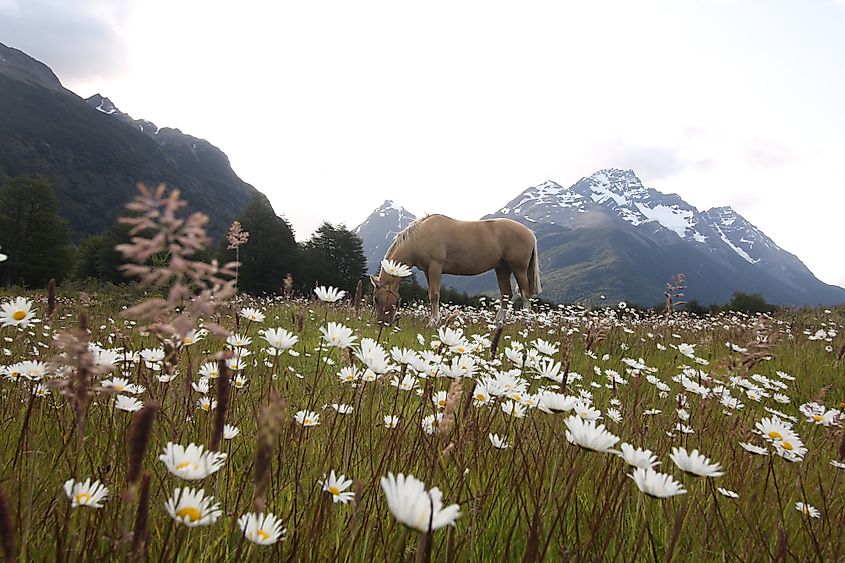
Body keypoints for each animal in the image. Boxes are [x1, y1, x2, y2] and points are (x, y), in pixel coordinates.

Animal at [370, 217, 540, 330]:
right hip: (502, 268)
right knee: (506, 295)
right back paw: (497, 325)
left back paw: (528, 324)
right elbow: (431, 295)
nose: (381, 324)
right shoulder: (427, 270)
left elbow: (434, 295)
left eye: (377, 299)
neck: (419, 237)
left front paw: (433, 323)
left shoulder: (435, 266)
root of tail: (530, 233)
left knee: (525, 295)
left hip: (518, 268)